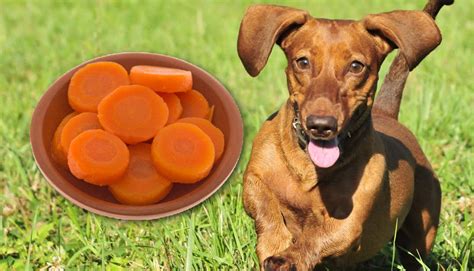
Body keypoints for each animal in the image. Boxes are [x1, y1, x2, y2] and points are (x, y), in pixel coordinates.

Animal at [237, 1, 452, 270]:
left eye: (356, 66)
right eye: (302, 62)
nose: (320, 125)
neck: (309, 167)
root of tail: (386, 113)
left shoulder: (347, 224)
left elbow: (316, 238)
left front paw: (289, 258)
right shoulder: (254, 179)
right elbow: (265, 207)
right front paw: (275, 240)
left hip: (419, 237)